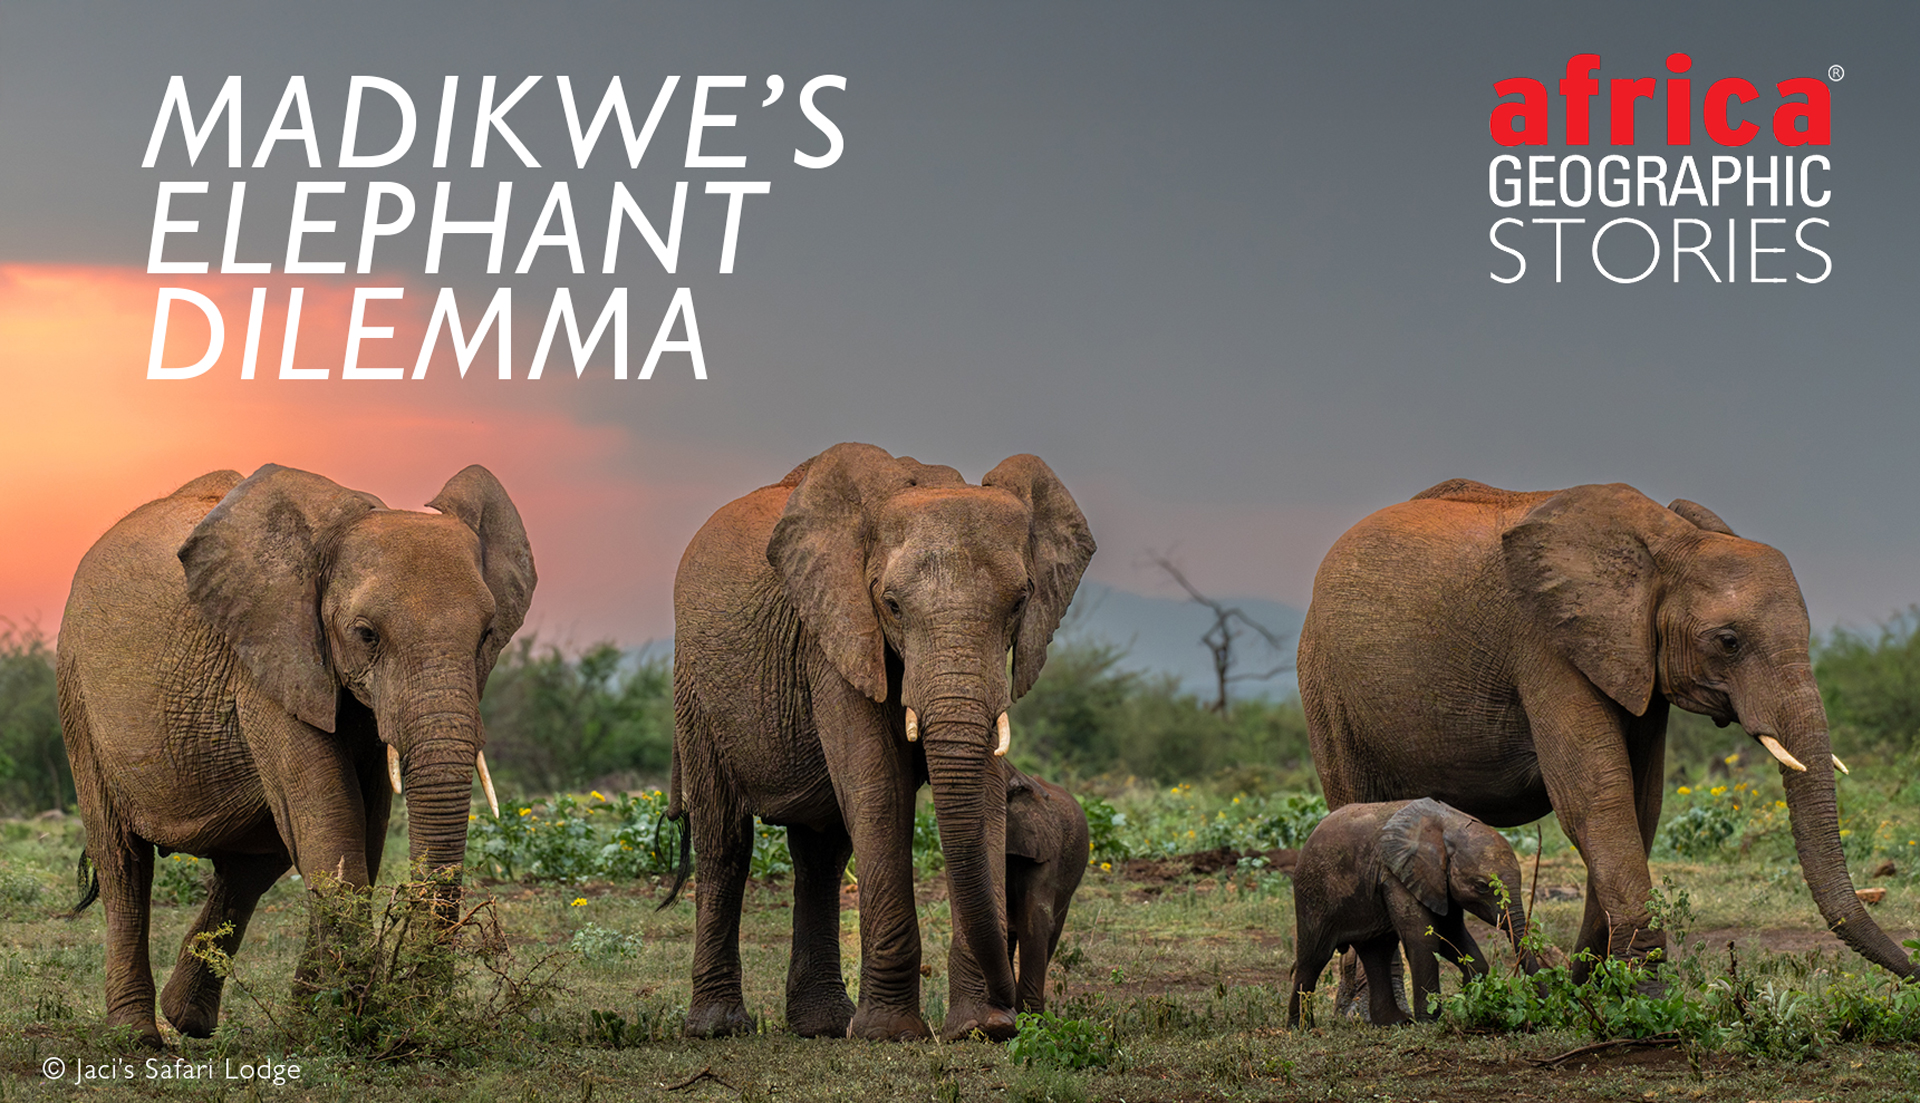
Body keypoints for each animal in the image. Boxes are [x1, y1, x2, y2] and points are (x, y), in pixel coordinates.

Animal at [58, 464, 535, 1045]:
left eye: (487, 635)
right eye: (366, 635)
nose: (424, 1018)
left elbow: (363, 830)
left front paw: (318, 1025)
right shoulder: (270, 659)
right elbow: (333, 819)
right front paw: (352, 1023)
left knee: (254, 863)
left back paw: (188, 1019)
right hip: (78, 696)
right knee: (123, 860)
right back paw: (137, 1037)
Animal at [667, 443, 1094, 1041]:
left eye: (1019, 603)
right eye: (891, 605)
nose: (1012, 1008)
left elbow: (984, 797)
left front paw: (978, 1029)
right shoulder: (836, 637)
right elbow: (878, 787)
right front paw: (891, 1034)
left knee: (820, 855)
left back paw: (822, 1027)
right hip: (697, 691)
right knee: (726, 841)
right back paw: (719, 1028)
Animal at [1288, 798, 1536, 1027]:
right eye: (1482, 886)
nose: (1541, 1005)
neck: (1449, 824)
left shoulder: (1436, 882)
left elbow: (1451, 935)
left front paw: (1473, 1003)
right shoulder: (1396, 874)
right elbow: (1423, 939)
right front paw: (1430, 1022)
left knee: (1377, 952)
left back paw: (1394, 1022)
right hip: (1313, 893)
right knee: (1314, 957)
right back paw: (1301, 1028)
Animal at [1297, 479, 1914, 981]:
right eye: (1729, 642)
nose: (1914, 970)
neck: (1667, 542)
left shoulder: (1636, 660)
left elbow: (1640, 802)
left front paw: (1592, 982)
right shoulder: (1545, 643)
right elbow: (1598, 796)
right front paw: (1639, 992)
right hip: (1324, 683)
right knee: (1352, 803)